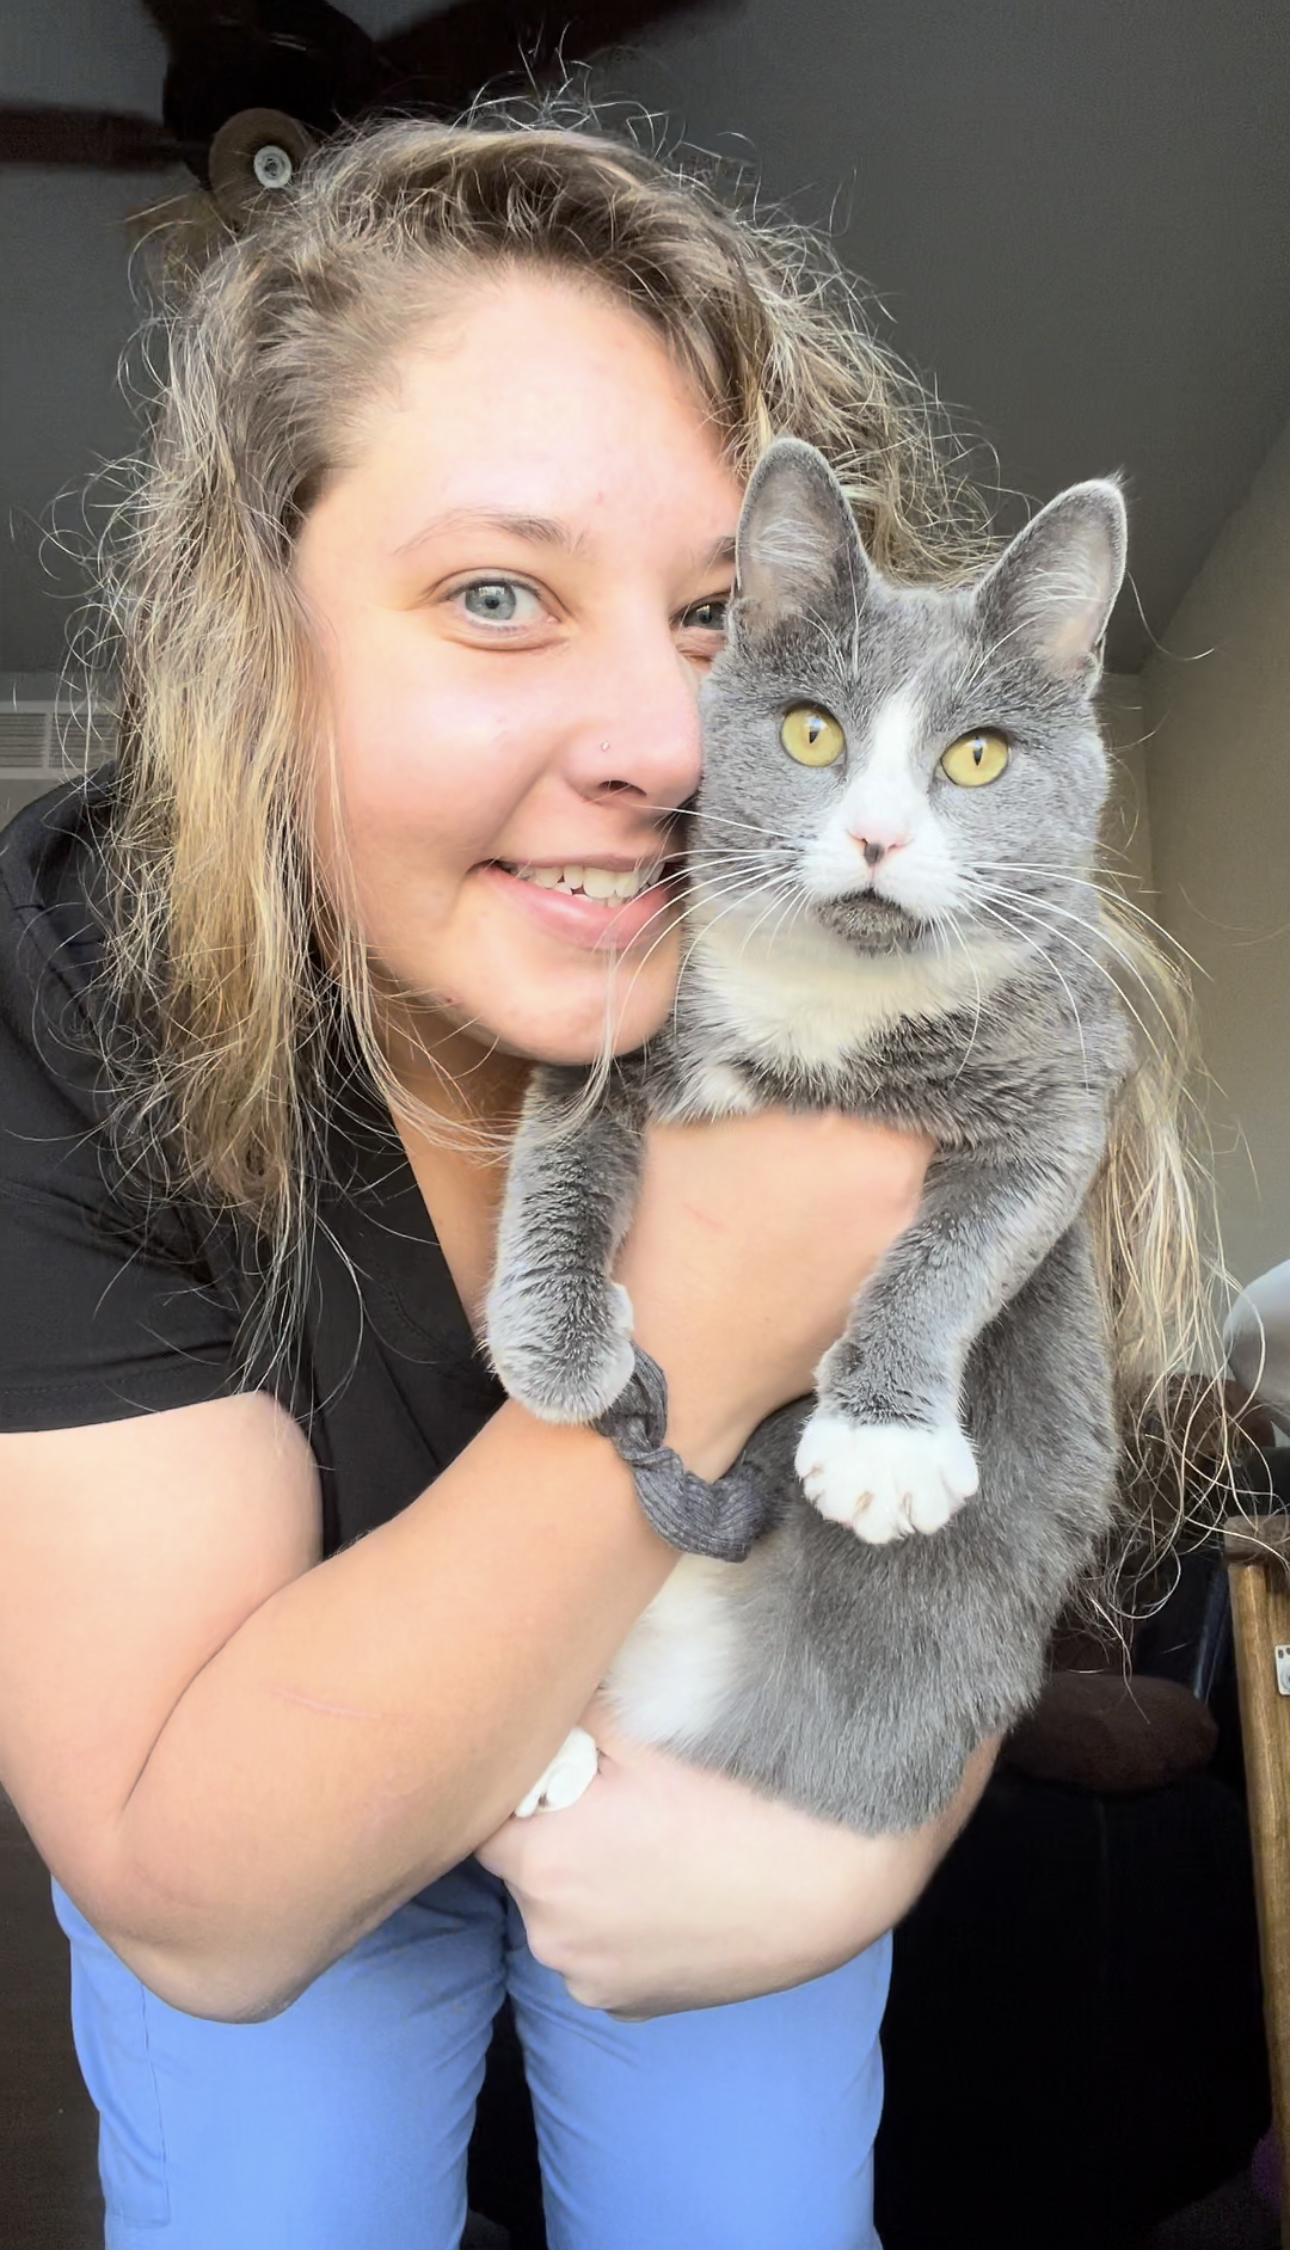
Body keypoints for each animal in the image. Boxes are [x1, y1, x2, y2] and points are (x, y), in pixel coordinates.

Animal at [481, 434, 1125, 1827]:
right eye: (811, 731)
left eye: (979, 758)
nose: (876, 835)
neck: (833, 1009)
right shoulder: (616, 1034)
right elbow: (560, 1163)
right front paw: (555, 1345)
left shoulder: (1060, 1098)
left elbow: (959, 1253)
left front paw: (884, 1442)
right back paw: (542, 1755)